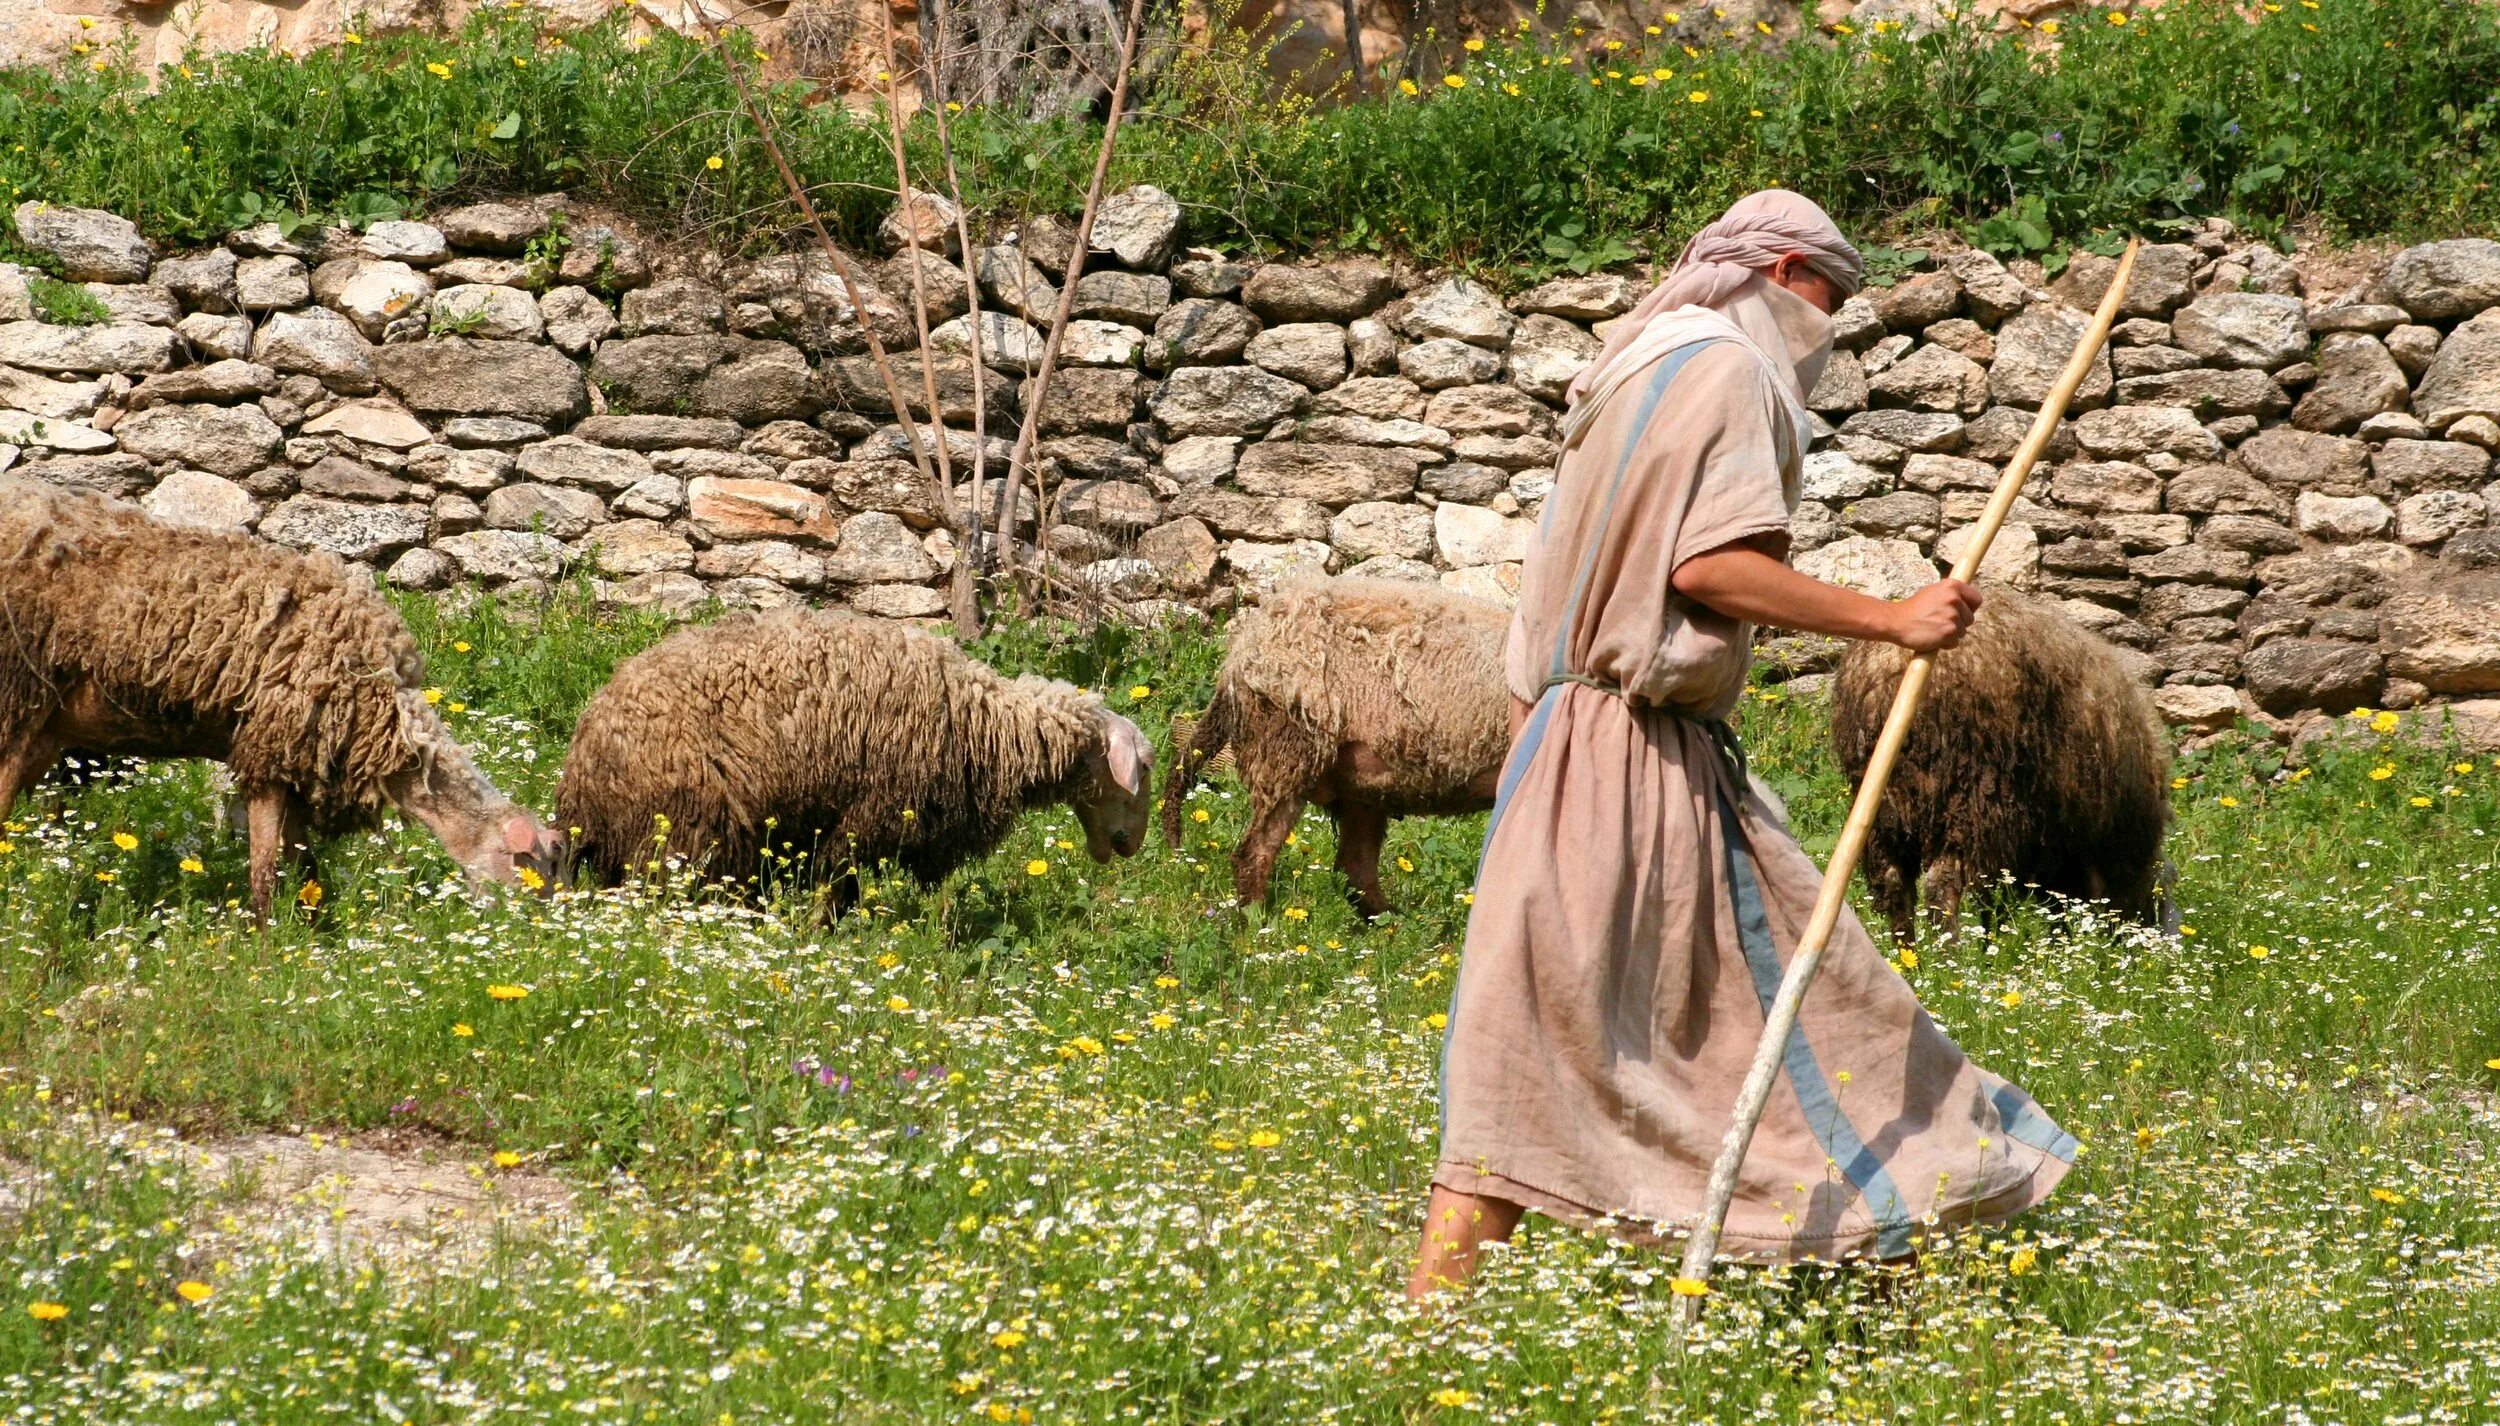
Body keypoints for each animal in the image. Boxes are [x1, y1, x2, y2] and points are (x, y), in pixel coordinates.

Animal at [3, 477, 562, 920]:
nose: (540, 939)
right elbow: (267, 870)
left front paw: (314, 933)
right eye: (546, 867)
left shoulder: (299, 766)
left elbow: (304, 866)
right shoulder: (271, 749)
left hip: (46, 726)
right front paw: (267, 944)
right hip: (16, 695)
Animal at [557, 607, 1150, 900]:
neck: (988, 722)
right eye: (1142, 767)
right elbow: (838, 885)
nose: (1131, 847)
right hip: (685, 827)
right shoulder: (870, 814)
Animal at [1155, 575, 1500, 910]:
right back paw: (1259, 922)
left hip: (1365, 782)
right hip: (1286, 752)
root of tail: (1240, 654)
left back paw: (1392, 924)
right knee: (1254, 853)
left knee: (1354, 869)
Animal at [1830, 577, 2180, 930]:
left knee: (1894, 885)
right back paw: (1949, 944)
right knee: (1943, 886)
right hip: (1976, 798)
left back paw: (1910, 946)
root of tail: (1889, 670)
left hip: (1883, 804)